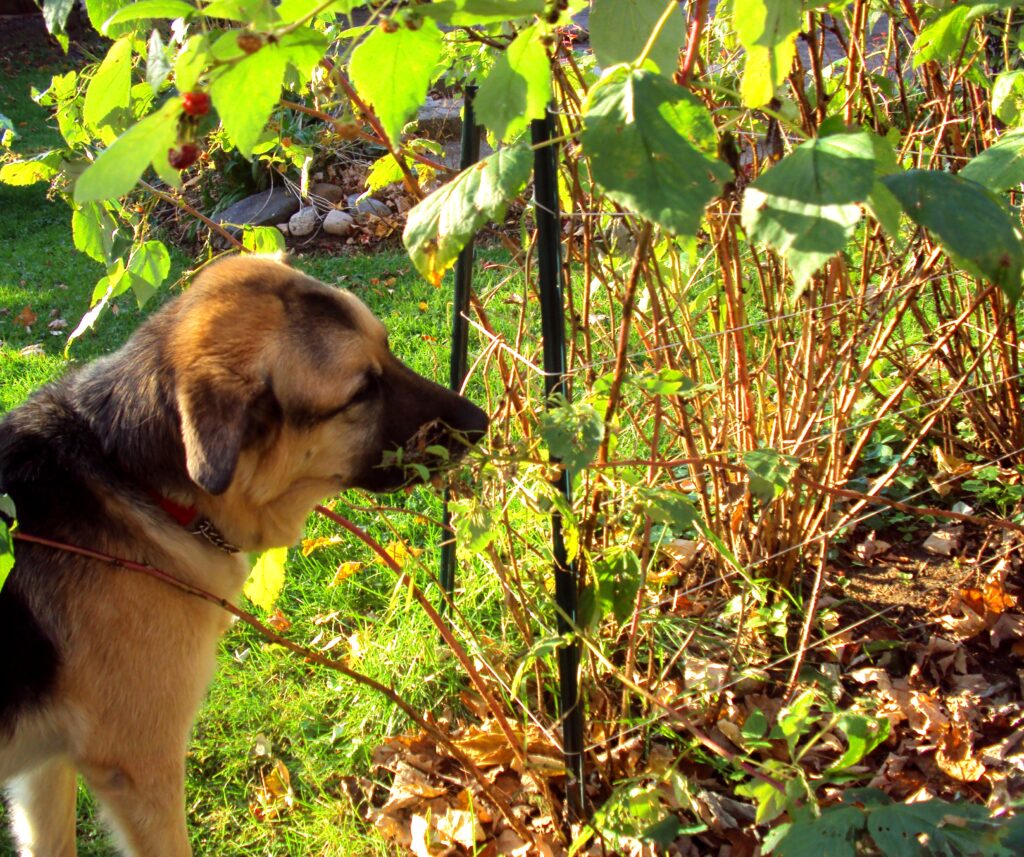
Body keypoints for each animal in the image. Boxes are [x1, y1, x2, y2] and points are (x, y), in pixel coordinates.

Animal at [0, 250, 489, 851]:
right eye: (360, 392)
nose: (482, 423)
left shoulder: (43, 771)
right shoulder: (140, 769)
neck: (134, 478)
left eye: (388, 349)